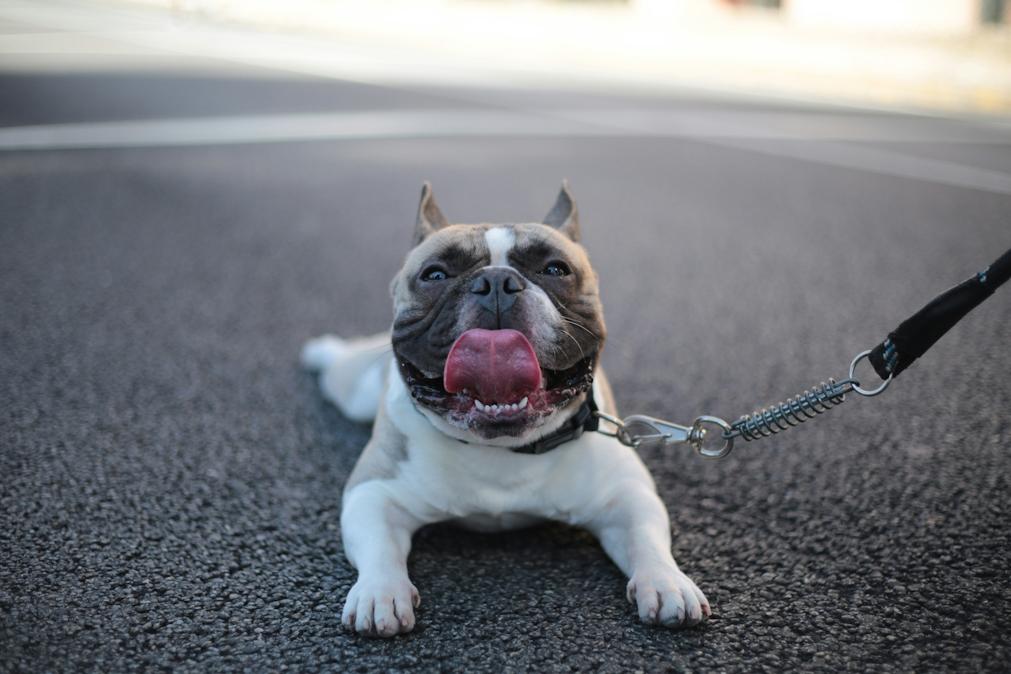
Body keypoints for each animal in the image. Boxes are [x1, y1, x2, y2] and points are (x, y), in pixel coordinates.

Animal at [301, 181, 711, 634]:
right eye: (435, 275)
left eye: (556, 269)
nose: (496, 281)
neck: (503, 448)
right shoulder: (373, 492)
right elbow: (378, 545)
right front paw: (380, 593)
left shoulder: (625, 496)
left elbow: (648, 537)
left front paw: (666, 582)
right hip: (354, 391)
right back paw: (320, 351)